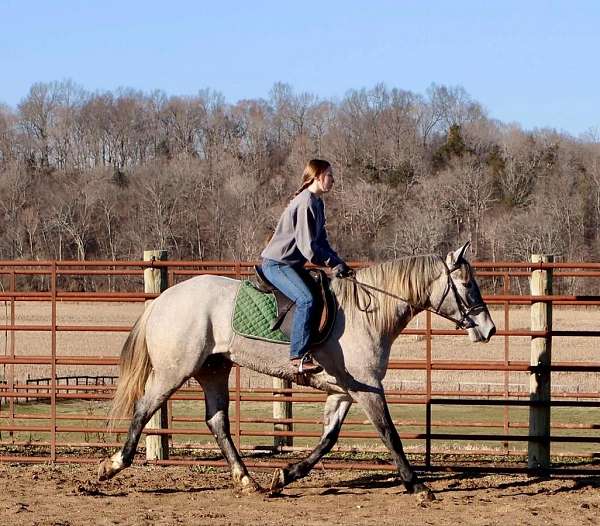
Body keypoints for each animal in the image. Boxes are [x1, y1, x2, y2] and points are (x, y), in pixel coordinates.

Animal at [98, 244, 494, 504]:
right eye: (467, 285)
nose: (488, 329)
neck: (367, 313)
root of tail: (162, 299)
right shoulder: (368, 389)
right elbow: (389, 435)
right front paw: (418, 486)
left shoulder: (343, 391)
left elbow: (328, 440)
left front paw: (285, 475)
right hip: (173, 371)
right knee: (144, 408)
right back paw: (112, 465)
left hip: (214, 370)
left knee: (217, 422)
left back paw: (248, 481)